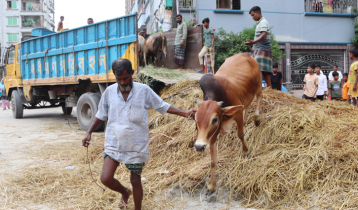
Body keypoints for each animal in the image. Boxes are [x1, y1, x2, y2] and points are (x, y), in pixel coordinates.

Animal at [194, 53, 262, 192]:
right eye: (195, 119)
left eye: (214, 119)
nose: (199, 146)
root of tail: (246, 54)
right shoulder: (212, 136)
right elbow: (213, 160)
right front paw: (212, 184)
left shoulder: (237, 113)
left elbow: (240, 134)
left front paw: (245, 151)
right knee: (248, 105)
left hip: (258, 84)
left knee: (258, 98)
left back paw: (257, 118)